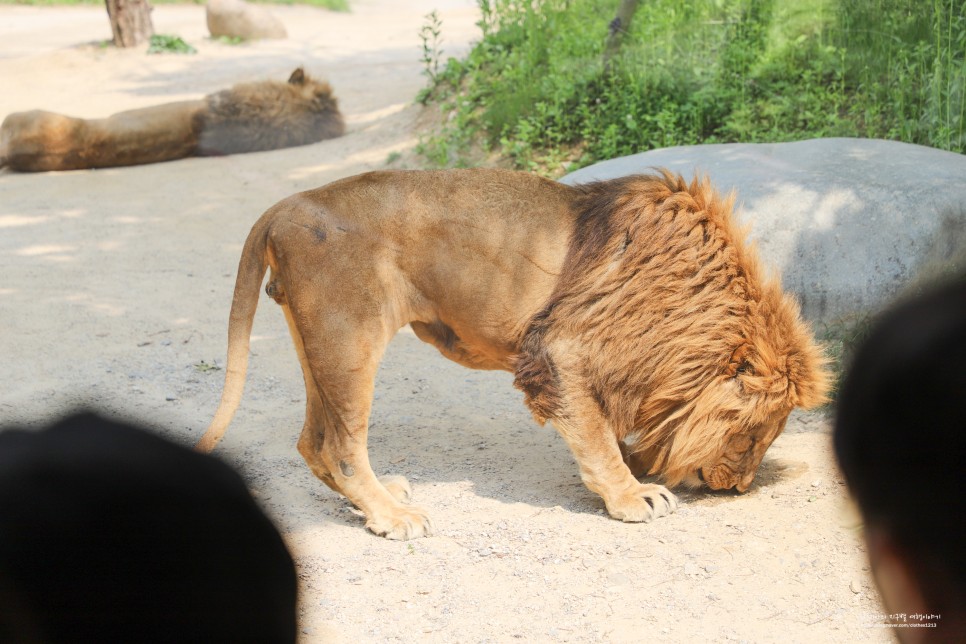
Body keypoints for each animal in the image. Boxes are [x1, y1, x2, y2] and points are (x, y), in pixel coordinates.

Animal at [197, 167, 832, 540]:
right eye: (752, 435)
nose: (738, 488)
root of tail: (285, 207)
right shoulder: (560, 349)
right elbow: (596, 434)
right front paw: (633, 495)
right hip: (349, 335)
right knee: (340, 446)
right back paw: (392, 517)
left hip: (318, 343)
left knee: (312, 442)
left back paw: (382, 497)